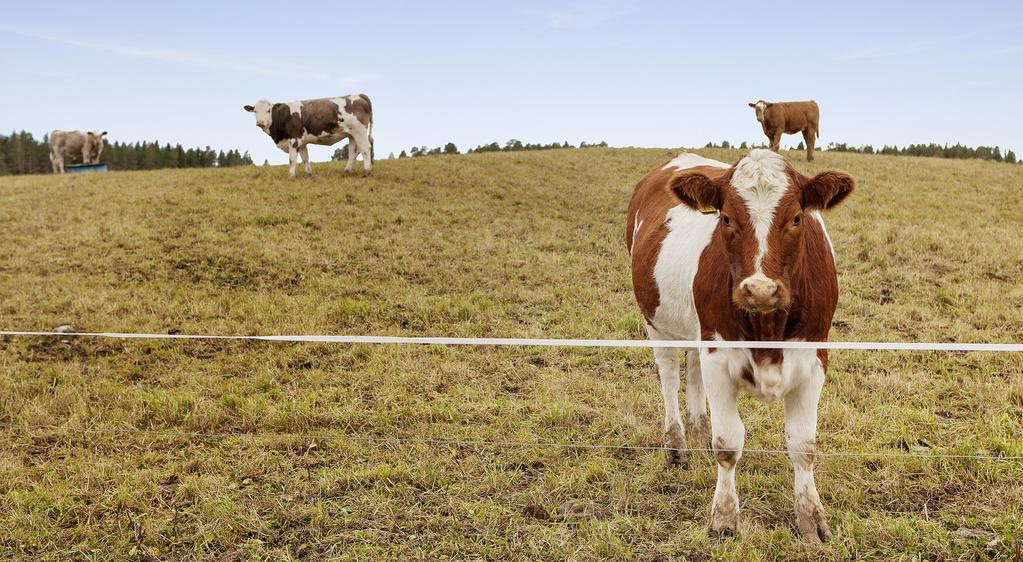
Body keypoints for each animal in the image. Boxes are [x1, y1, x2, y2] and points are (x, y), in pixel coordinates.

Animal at [243, 94, 376, 176]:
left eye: (268, 110)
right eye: (255, 111)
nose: (260, 122)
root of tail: (358, 95)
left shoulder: (294, 139)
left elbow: (292, 159)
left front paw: (290, 175)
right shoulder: (302, 142)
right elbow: (305, 158)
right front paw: (308, 174)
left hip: (359, 131)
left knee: (365, 148)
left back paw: (367, 171)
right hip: (352, 134)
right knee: (353, 151)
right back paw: (347, 171)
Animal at [621, 147, 855, 540]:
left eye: (796, 218)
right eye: (727, 218)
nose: (759, 289)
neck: (767, 329)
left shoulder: (814, 358)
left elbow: (803, 445)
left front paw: (811, 519)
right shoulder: (719, 356)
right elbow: (728, 443)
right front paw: (725, 519)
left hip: (695, 330)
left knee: (692, 369)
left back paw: (699, 431)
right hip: (656, 321)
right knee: (669, 374)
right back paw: (677, 446)